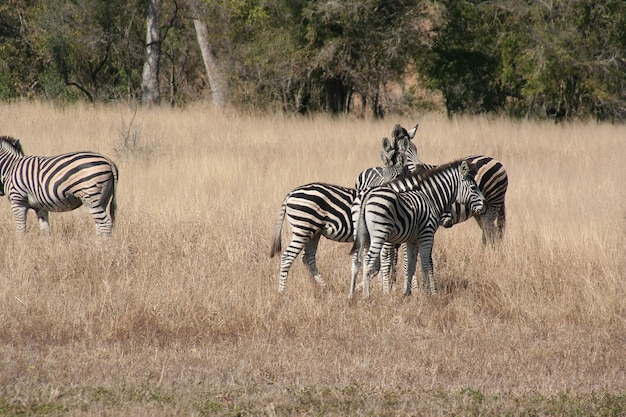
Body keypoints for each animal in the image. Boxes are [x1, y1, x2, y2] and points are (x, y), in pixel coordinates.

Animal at [348, 159, 486, 300]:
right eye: (473, 188)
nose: (484, 206)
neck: (429, 198)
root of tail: (366, 194)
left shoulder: (411, 240)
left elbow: (410, 265)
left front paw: (407, 293)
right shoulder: (426, 235)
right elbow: (425, 263)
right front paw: (427, 292)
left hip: (362, 234)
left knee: (357, 260)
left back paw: (352, 294)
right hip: (380, 234)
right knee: (371, 260)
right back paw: (368, 295)